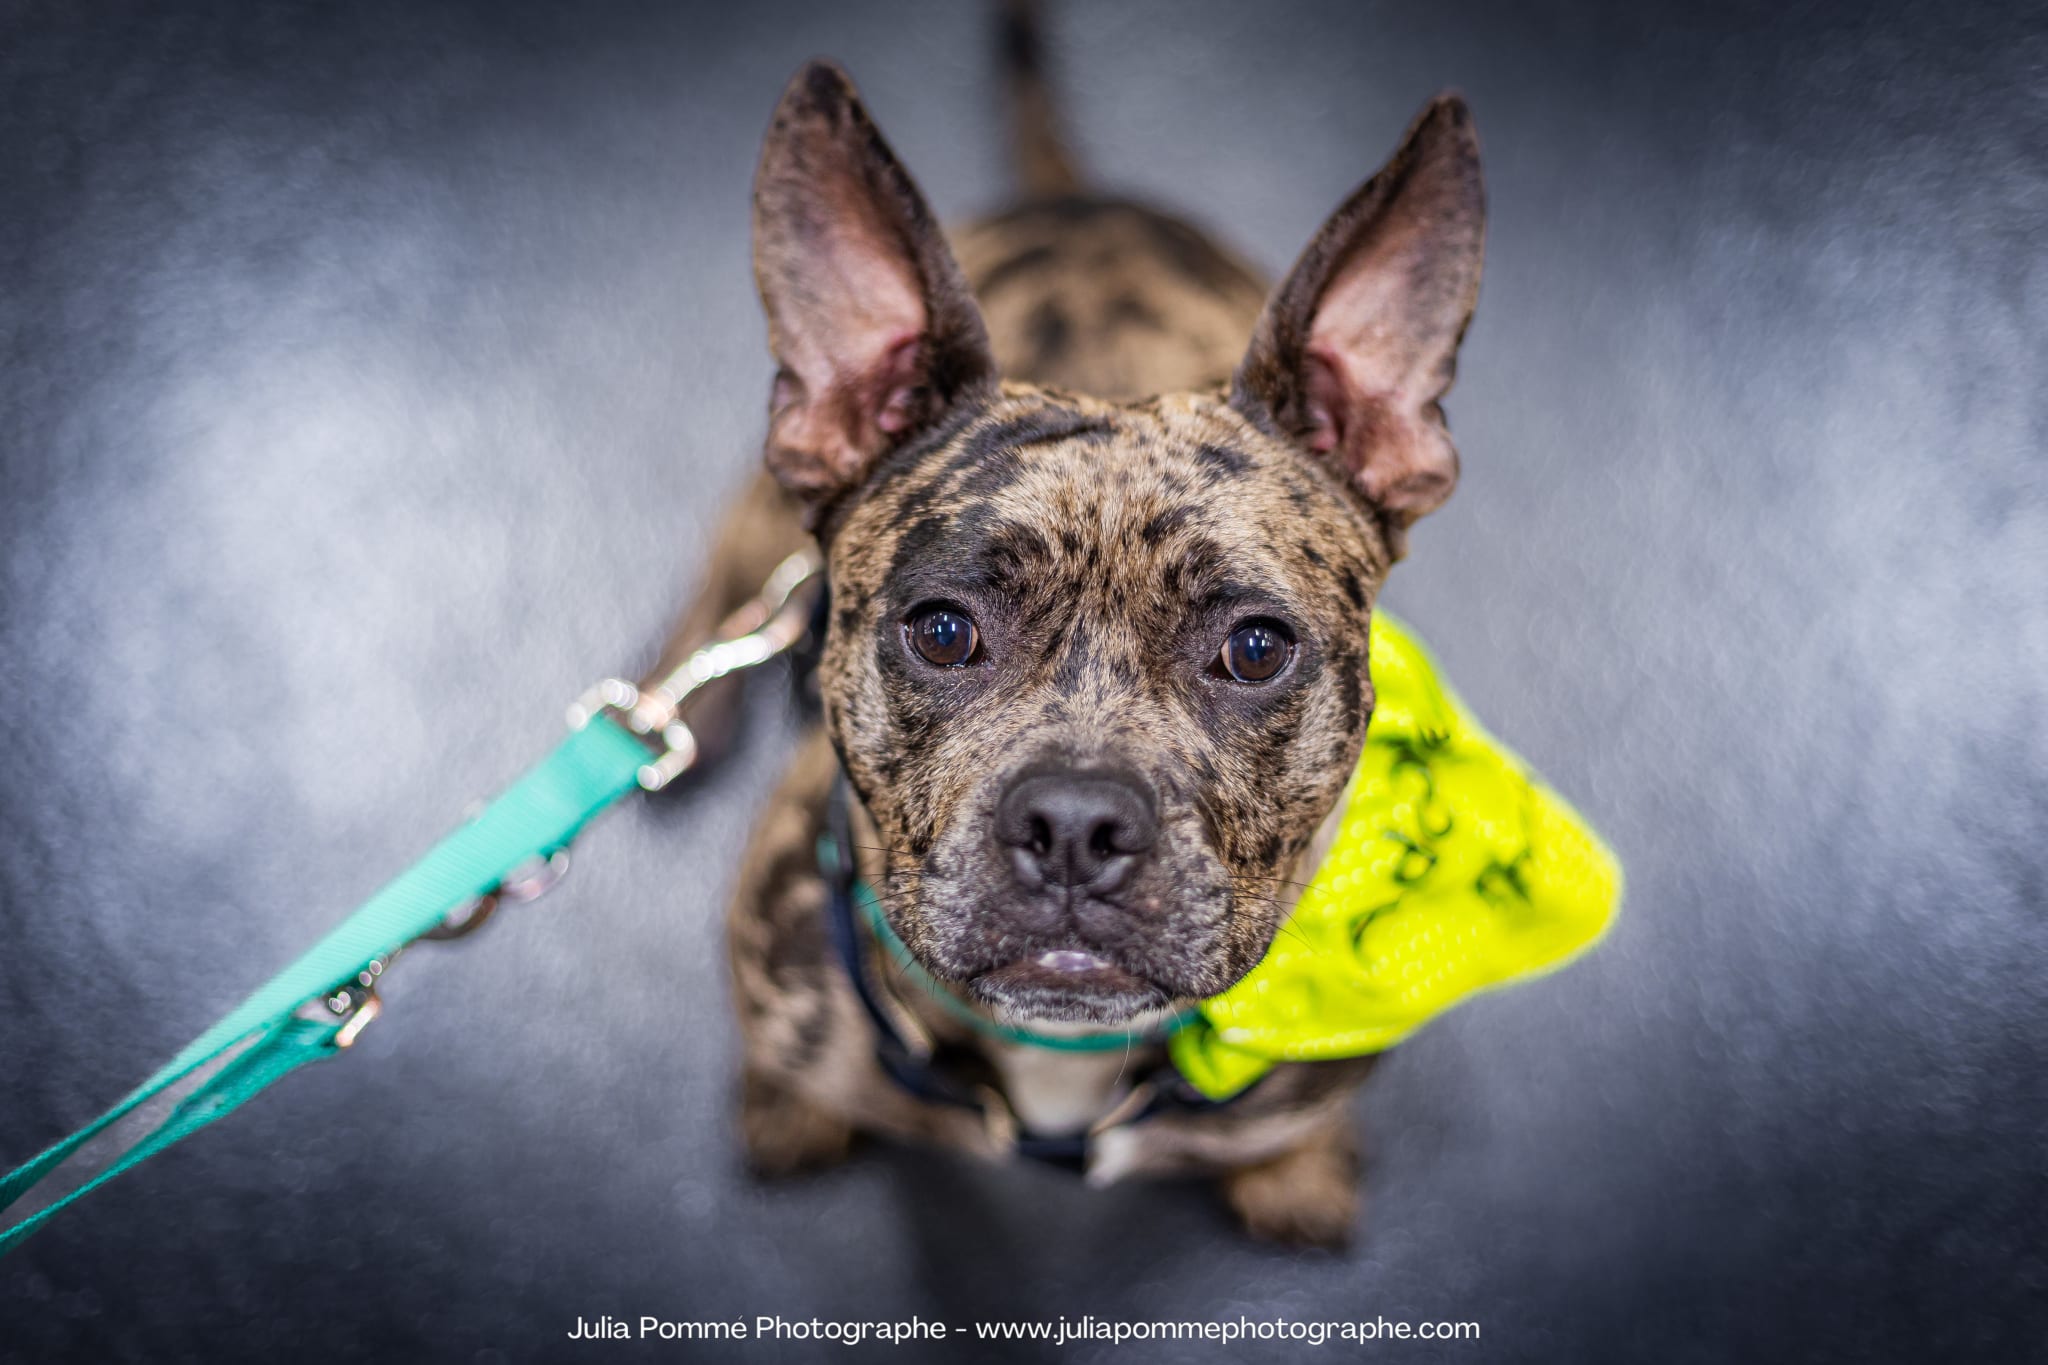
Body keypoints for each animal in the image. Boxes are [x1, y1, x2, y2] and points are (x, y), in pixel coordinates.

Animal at [659, 2, 1490, 1252]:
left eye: (1255, 648)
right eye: (940, 631)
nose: (1072, 825)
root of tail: (1083, 196)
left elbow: (1283, 1128)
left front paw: (1292, 1167)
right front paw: (788, 1107)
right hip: (764, 512)